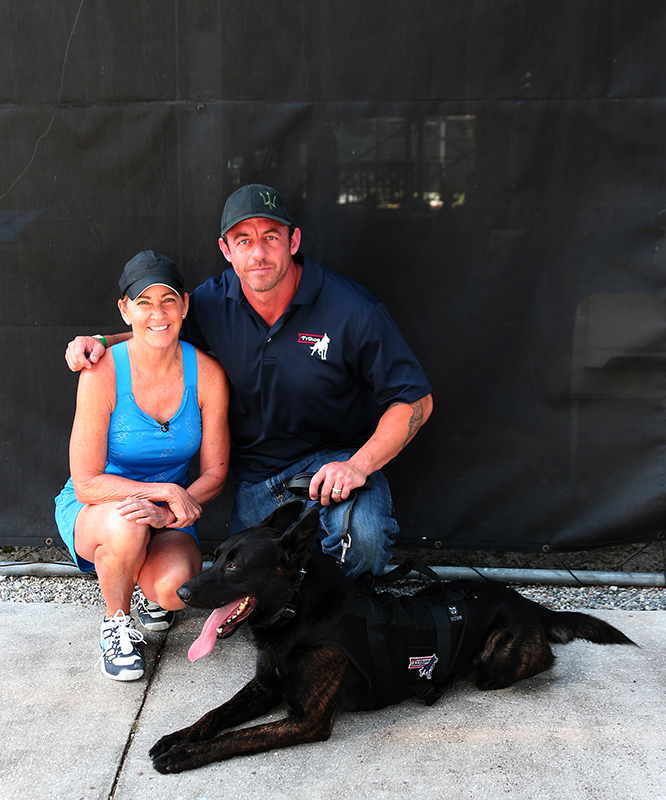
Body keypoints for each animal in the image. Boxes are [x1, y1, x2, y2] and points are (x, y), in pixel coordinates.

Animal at [149, 504, 632, 772]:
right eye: (215, 557)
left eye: (234, 566)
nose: (181, 592)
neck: (298, 616)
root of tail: (529, 603)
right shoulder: (265, 687)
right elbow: (215, 714)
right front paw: (179, 737)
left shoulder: (306, 719)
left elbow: (236, 737)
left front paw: (184, 755)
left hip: (499, 659)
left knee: (542, 659)